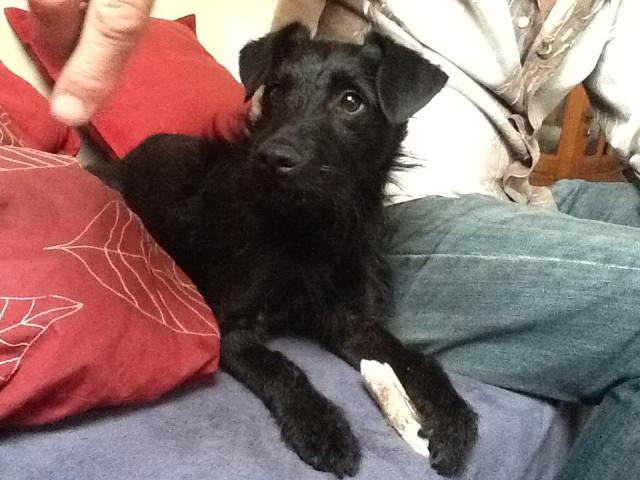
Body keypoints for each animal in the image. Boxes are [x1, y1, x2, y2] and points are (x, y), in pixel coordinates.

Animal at [87, 23, 477, 478]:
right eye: (275, 91)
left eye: (352, 102)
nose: (272, 157)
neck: (310, 227)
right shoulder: (231, 327)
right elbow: (283, 369)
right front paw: (323, 426)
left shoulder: (354, 323)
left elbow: (417, 360)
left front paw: (454, 420)